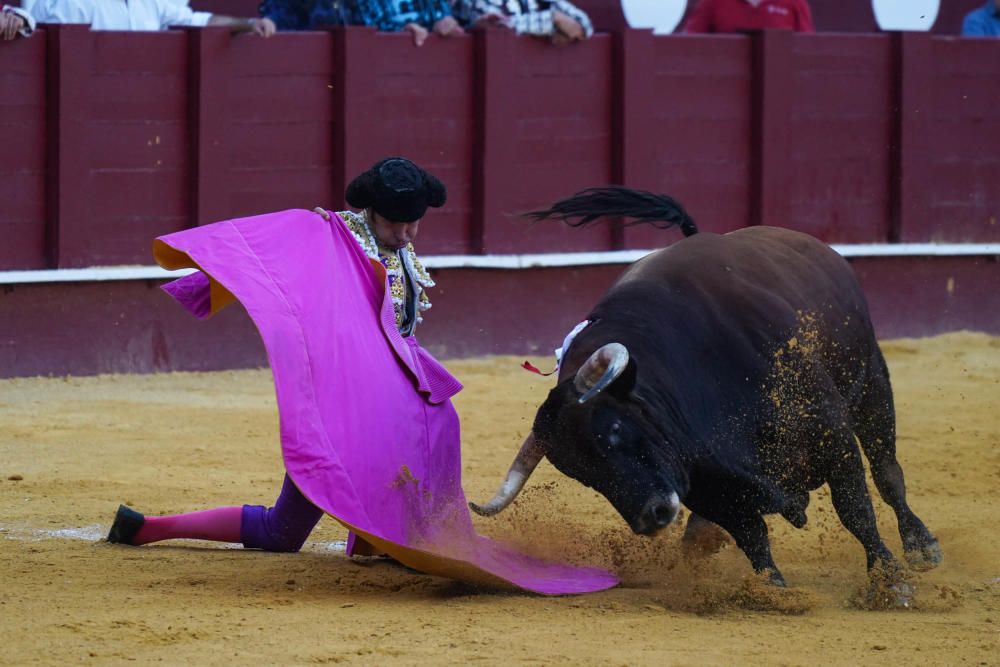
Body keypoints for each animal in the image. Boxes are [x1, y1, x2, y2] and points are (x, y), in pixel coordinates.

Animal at [472, 187, 940, 600]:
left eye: (615, 430)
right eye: (583, 475)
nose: (653, 517)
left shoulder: (831, 432)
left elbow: (854, 508)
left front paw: (889, 581)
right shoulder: (701, 481)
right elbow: (751, 533)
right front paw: (770, 590)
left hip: (872, 382)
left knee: (887, 472)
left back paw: (921, 546)